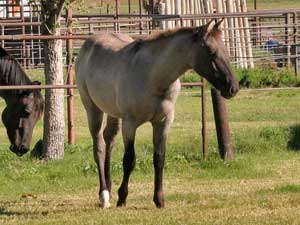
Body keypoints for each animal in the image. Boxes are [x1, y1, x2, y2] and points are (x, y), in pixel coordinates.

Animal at [75, 20, 239, 208]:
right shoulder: (130, 124)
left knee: (108, 139)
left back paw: (108, 189)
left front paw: (159, 199)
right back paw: (103, 195)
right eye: (211, 52)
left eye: (226, 50)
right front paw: (122, 198)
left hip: (113, 112)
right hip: (92, 109)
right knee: (99, 147)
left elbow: (159, 159)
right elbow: (129, 160)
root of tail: (89, 43)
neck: (153, 77)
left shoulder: (163, 122)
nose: (233, 88)